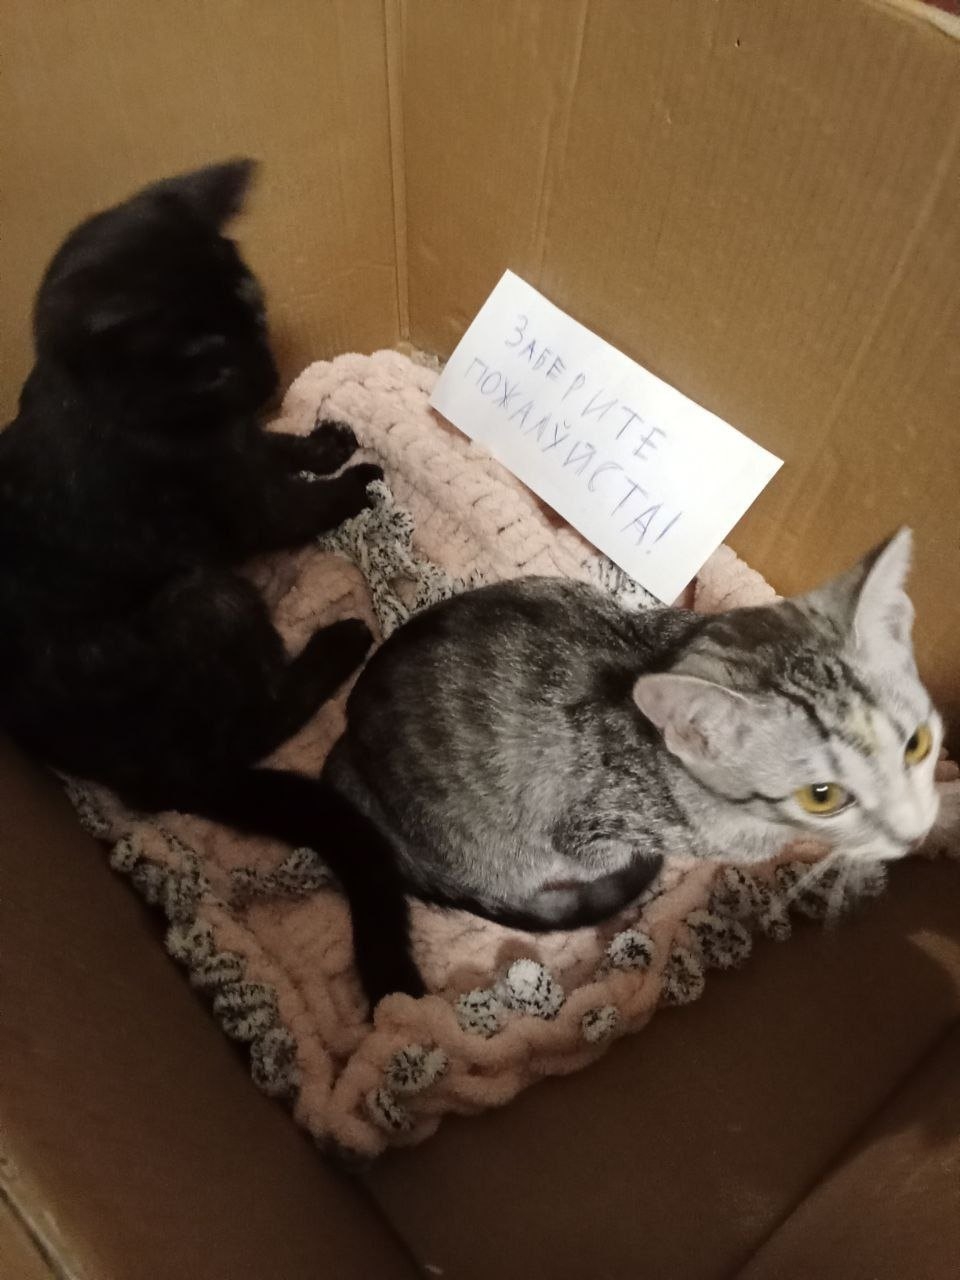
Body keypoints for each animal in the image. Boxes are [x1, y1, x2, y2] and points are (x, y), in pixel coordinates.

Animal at [0, 159, 424, 1008]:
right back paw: (339, 644)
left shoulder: (240, 447)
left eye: (256, 312)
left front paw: (322, 440)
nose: (268, 375)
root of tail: (130, 775)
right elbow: (292, 502)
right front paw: (354, 481)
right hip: (208, 601)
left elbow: (273, 448)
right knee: (250, 725)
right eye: (210, 361)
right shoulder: (237, 504)